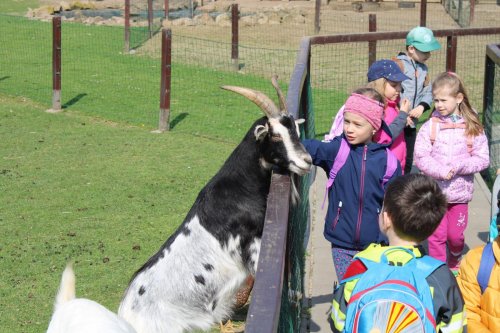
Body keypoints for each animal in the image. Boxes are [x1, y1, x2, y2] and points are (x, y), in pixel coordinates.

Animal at [118, 76, 312, 332]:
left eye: (296, 131)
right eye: (276, 135)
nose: (306, 160)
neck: (240, 188)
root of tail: (125, 315)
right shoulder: (253, 245)